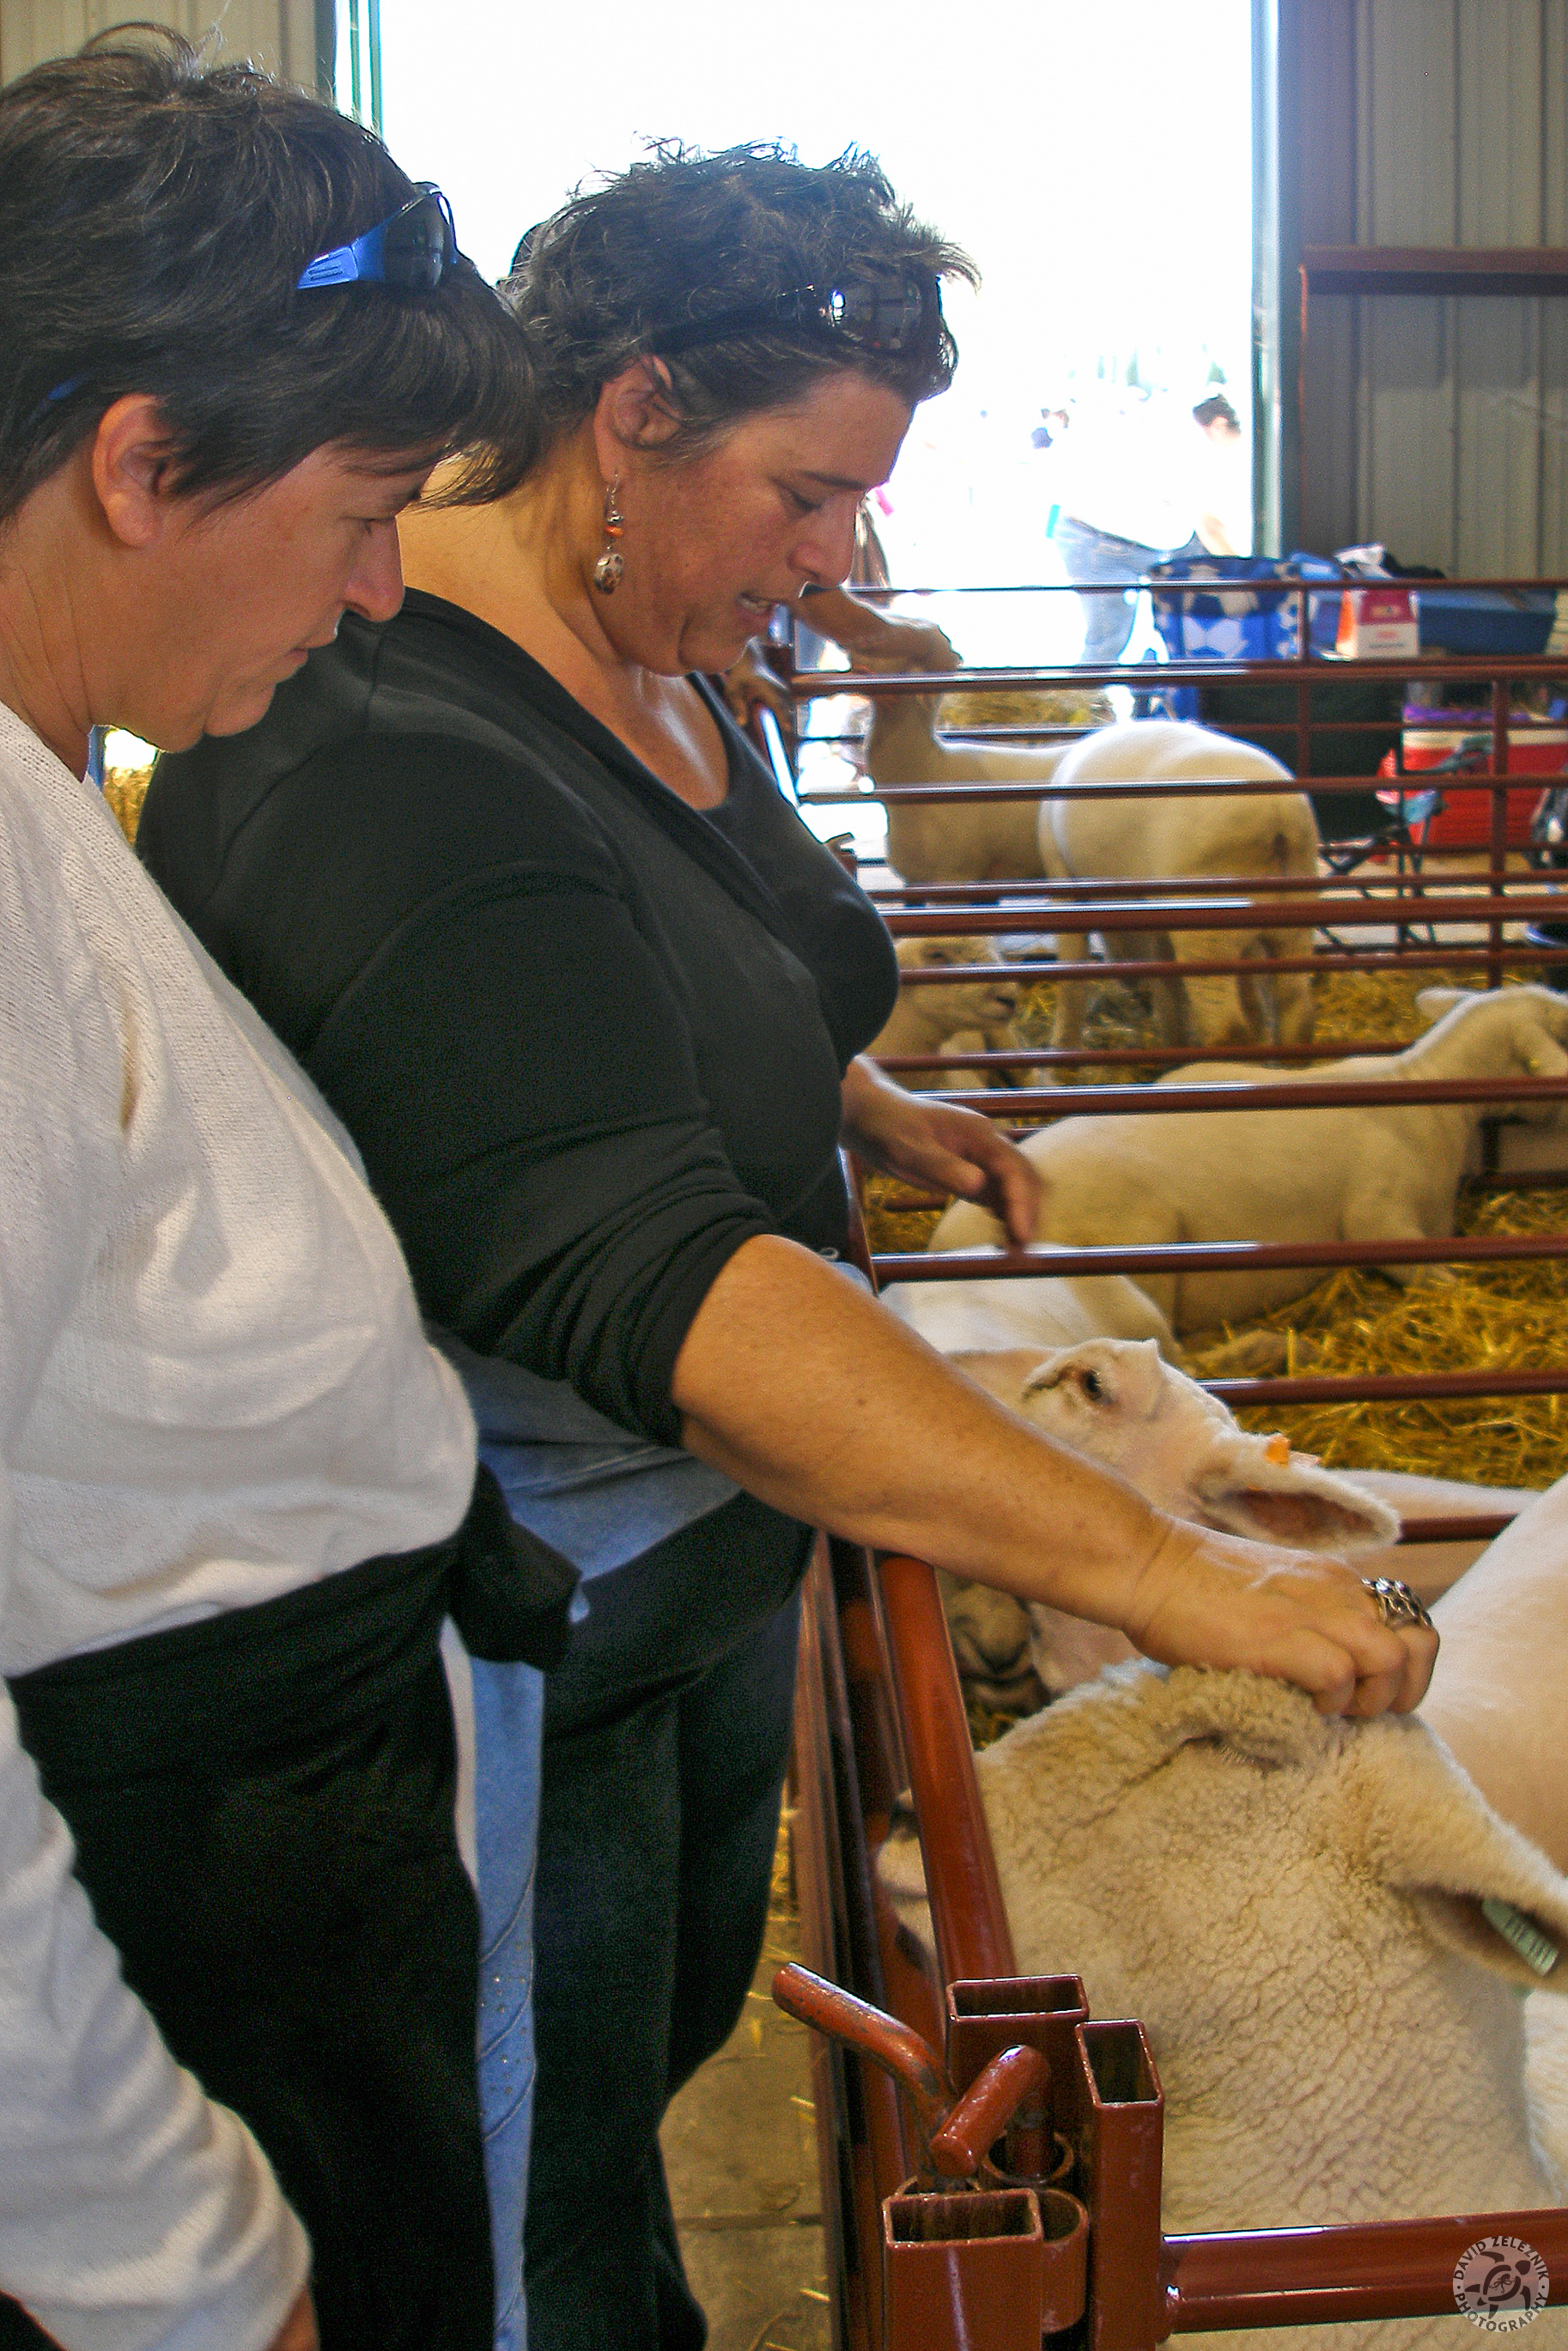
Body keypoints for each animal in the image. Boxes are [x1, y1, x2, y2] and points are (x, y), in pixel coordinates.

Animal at [931, 978, 1568, 1345]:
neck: (1428, 1089)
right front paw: (1463, 1282)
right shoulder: (1382, 1213)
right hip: (1137, 1249)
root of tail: (944, 1246)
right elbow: (1427, 1271)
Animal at [1043, 714, 1326, 1048]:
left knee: (1229, 1030)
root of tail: (1276, 822)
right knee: (1298, 1015)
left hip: (1208, 932)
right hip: (1294, 916)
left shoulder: (1062, 873)